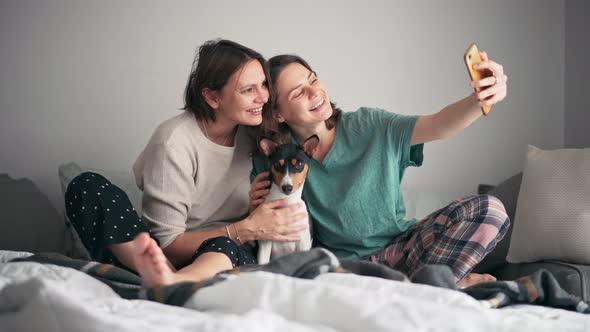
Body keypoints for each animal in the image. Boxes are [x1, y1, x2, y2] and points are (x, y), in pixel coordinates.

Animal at [258, 135, 322, 264]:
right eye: (278, 164)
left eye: (299, 164)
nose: (287, 187)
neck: (287, 202)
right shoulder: (265, 241)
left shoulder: (303, 242)